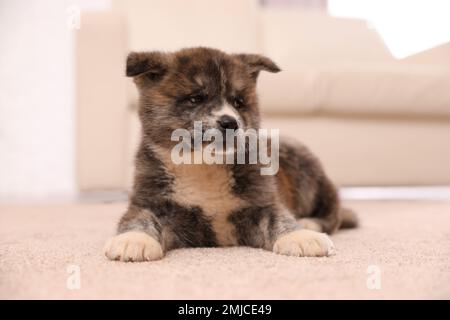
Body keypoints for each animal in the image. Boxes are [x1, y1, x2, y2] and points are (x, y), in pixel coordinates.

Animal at [103, 48, 356, 262]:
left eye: (238, 102)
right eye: (195, 98)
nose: (230, 123)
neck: (203, 166)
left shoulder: (262, 203)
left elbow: (278, 218)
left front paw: (298, 236)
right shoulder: (150, 201)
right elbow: (139, 218)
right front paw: (134, 239)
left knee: (333, 212)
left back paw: (309, 224)